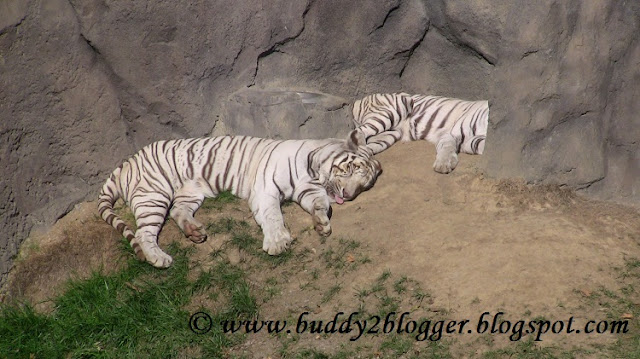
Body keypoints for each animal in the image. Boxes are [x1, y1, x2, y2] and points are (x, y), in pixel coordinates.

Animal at [99, 131, 380, 268]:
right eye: (351, 169)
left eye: (364, 186)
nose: (348, 195)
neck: (313, 170)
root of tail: (128, 161)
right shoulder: (266, 188)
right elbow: (273, 215)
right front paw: (277, 243)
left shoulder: (309, 190)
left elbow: (322, 205)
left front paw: (322, 223)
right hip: (153, 195)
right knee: (143, 233)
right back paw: (159, 259)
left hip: (189, 193)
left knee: (178, 211)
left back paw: (195, 231)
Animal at [352, 92, 488, 172]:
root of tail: (359, 100)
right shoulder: (451, 133)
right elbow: (447, 147)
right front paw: (443, 164)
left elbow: (475, 144)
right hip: (385, 115)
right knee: (356, 132)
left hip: (389, 135)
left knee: (366, 145)